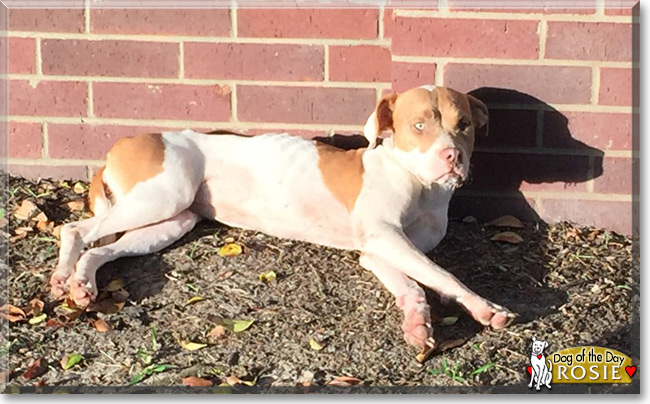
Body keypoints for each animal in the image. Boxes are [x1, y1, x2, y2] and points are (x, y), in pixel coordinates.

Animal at [50, 86, 512, 350]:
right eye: (418, 126)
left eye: (465, 125)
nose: (452, 156)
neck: (419, 184)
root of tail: (125, 140)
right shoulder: (385, 238)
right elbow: (441, 273)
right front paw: (485, 307)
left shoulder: (378, 250)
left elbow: (414, 283)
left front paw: (417, 322)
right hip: (161, 197)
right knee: (74, 229)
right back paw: (62, 275)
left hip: (171, 220)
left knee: (101, 250)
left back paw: (81, 284)